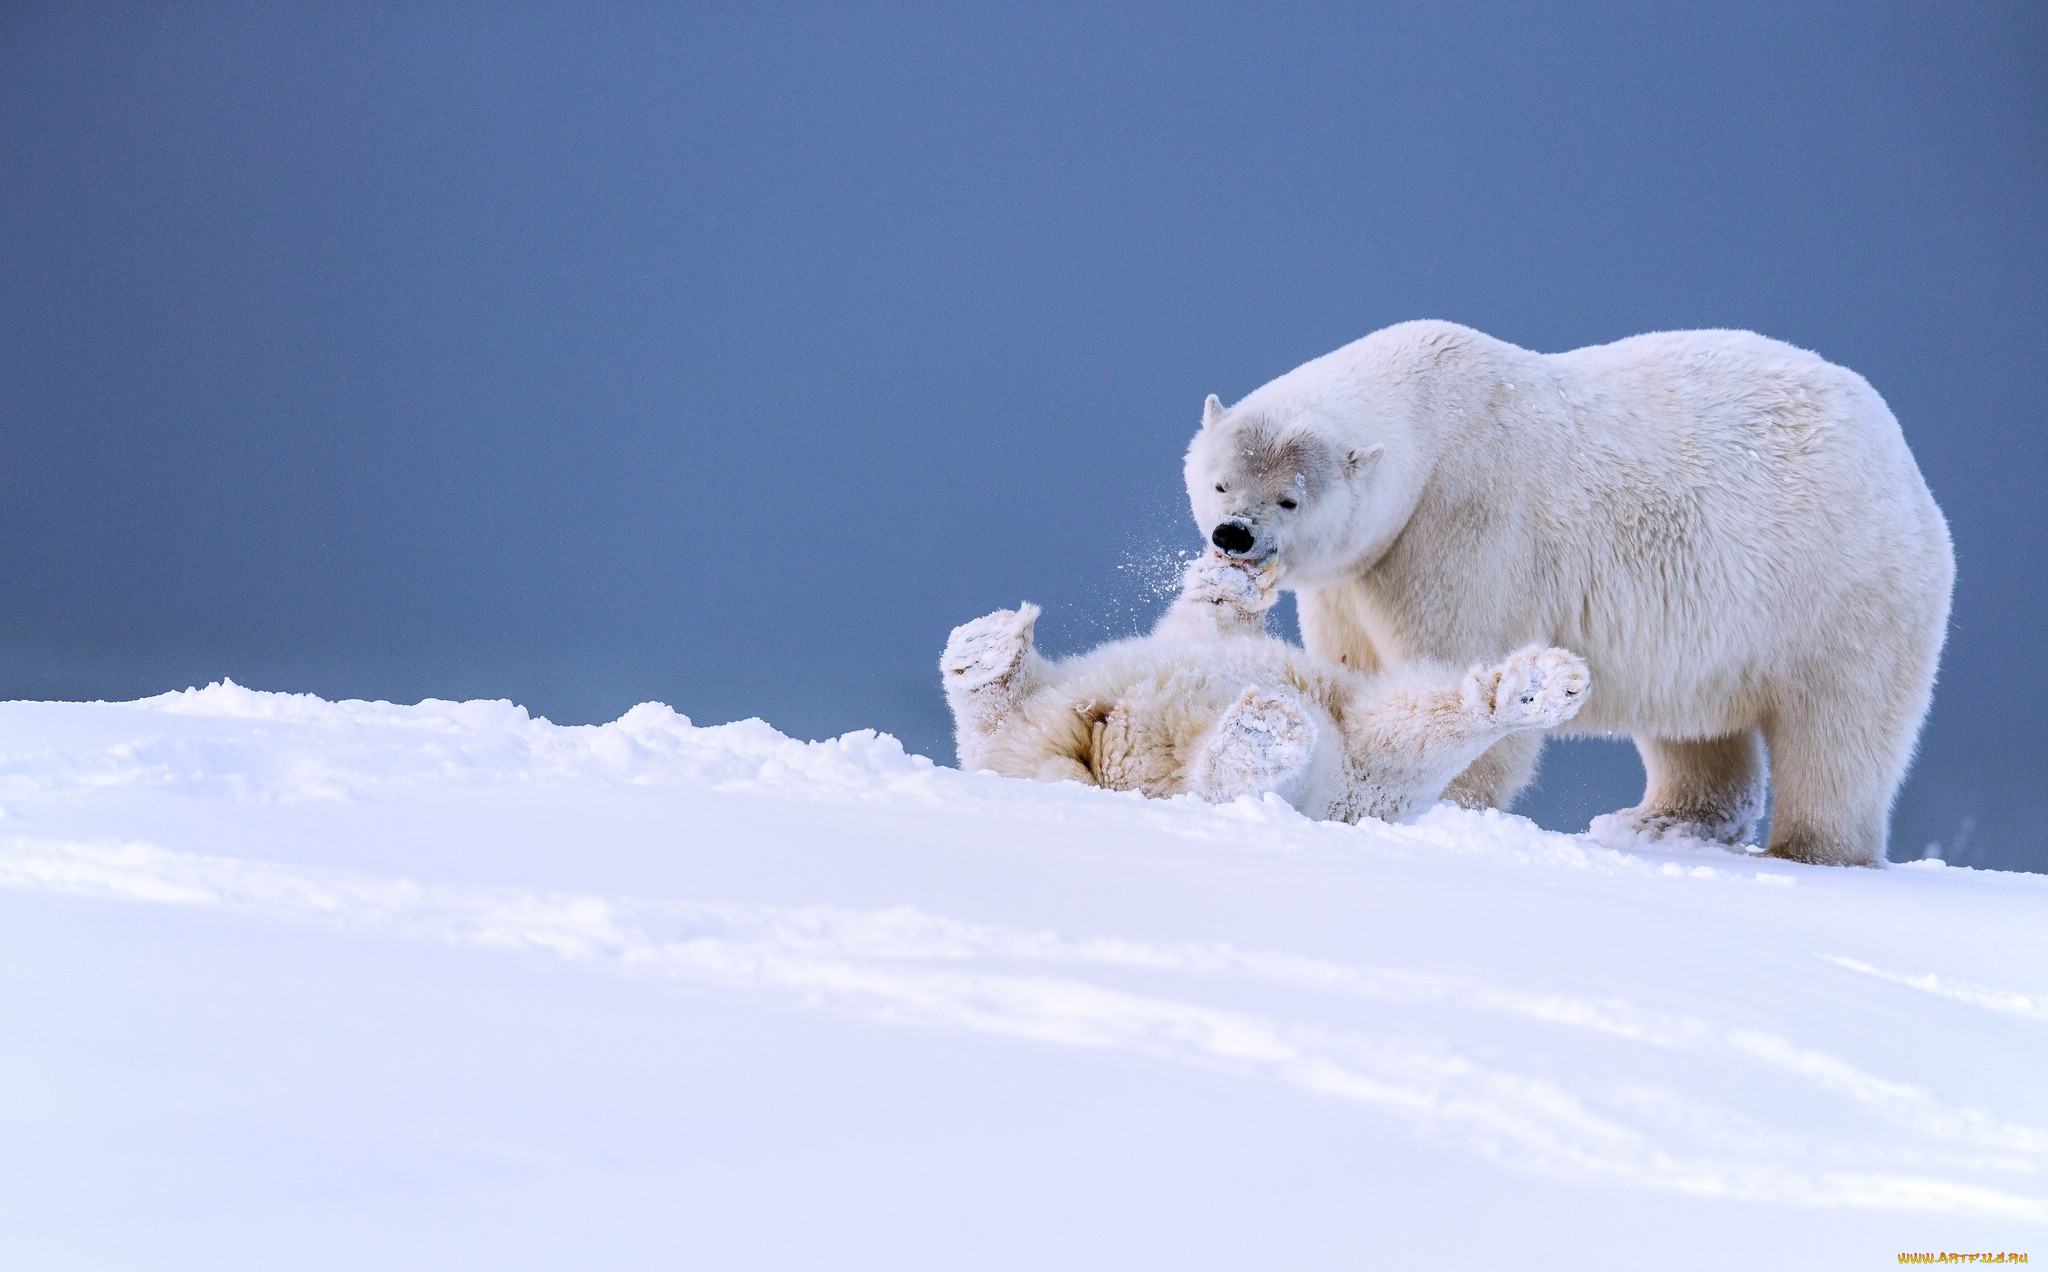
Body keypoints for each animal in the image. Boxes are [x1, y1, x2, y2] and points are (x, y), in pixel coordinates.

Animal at [942, 557, 1597, 823]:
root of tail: (1091, 756)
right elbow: (1209, 616)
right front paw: (1233, 577)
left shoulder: (1356, 771)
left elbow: (1390, 732)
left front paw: (1540, 683)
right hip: (1053, 712)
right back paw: (986, 650)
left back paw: (1257, 736)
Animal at [1187, 321, 1949, 868]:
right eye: (1220, 481)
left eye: (1289, 498)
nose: (1234, 535)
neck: (1432, 417)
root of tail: (1902, 458)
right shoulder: (1356, 574)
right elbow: (1354, 666)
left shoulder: (1465, 525)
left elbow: (1465, 659)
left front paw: (1446, 803)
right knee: (1694, 728)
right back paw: (1660, 822)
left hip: (1840, 583)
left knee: (1840, 727)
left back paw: (1812, 849)